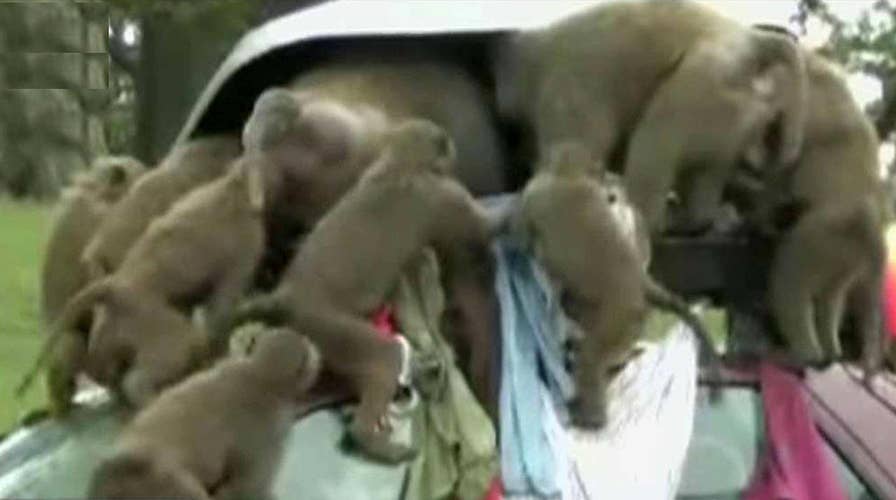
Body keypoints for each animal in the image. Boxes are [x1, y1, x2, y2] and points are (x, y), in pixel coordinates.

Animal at [228, 119, 495, 461]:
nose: (453, 147)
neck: (397, 163)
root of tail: (284, 297)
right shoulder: (442, 197)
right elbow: (482, 226)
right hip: (335, 331)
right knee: (383, 363)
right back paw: (380, 442)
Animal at [495, 0, 808, 236]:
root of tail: (753, 42)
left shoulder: (566, 86)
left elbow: (579, 154)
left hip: (711, 78)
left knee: (659, 135)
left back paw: (645, 221)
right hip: (737, 105)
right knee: (707, 163)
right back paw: (696, 220)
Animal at [516, 142, 720, 429]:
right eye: (602, 176)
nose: (611, 183)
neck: (570, 176)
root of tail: (637, 283)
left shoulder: (534, 194)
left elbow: (521, 235)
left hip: (618, 320)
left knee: (591, 357)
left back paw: (592, 418)